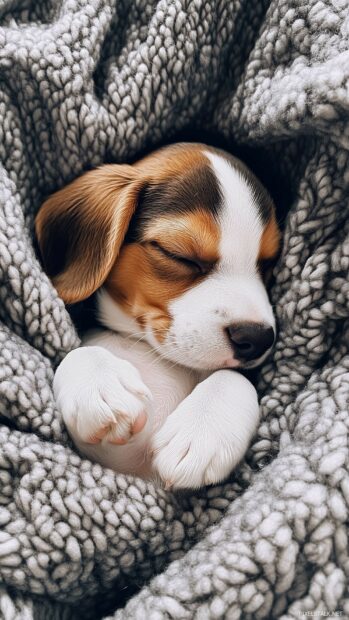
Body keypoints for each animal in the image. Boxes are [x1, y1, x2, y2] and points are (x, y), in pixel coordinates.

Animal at [36, 144, 280, 490]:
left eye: (268, 262)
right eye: (179, 255)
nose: (257, 338)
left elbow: (234, 378)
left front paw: (201, 433)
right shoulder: (107, 458)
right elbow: (80, 352)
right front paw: (102, 388)